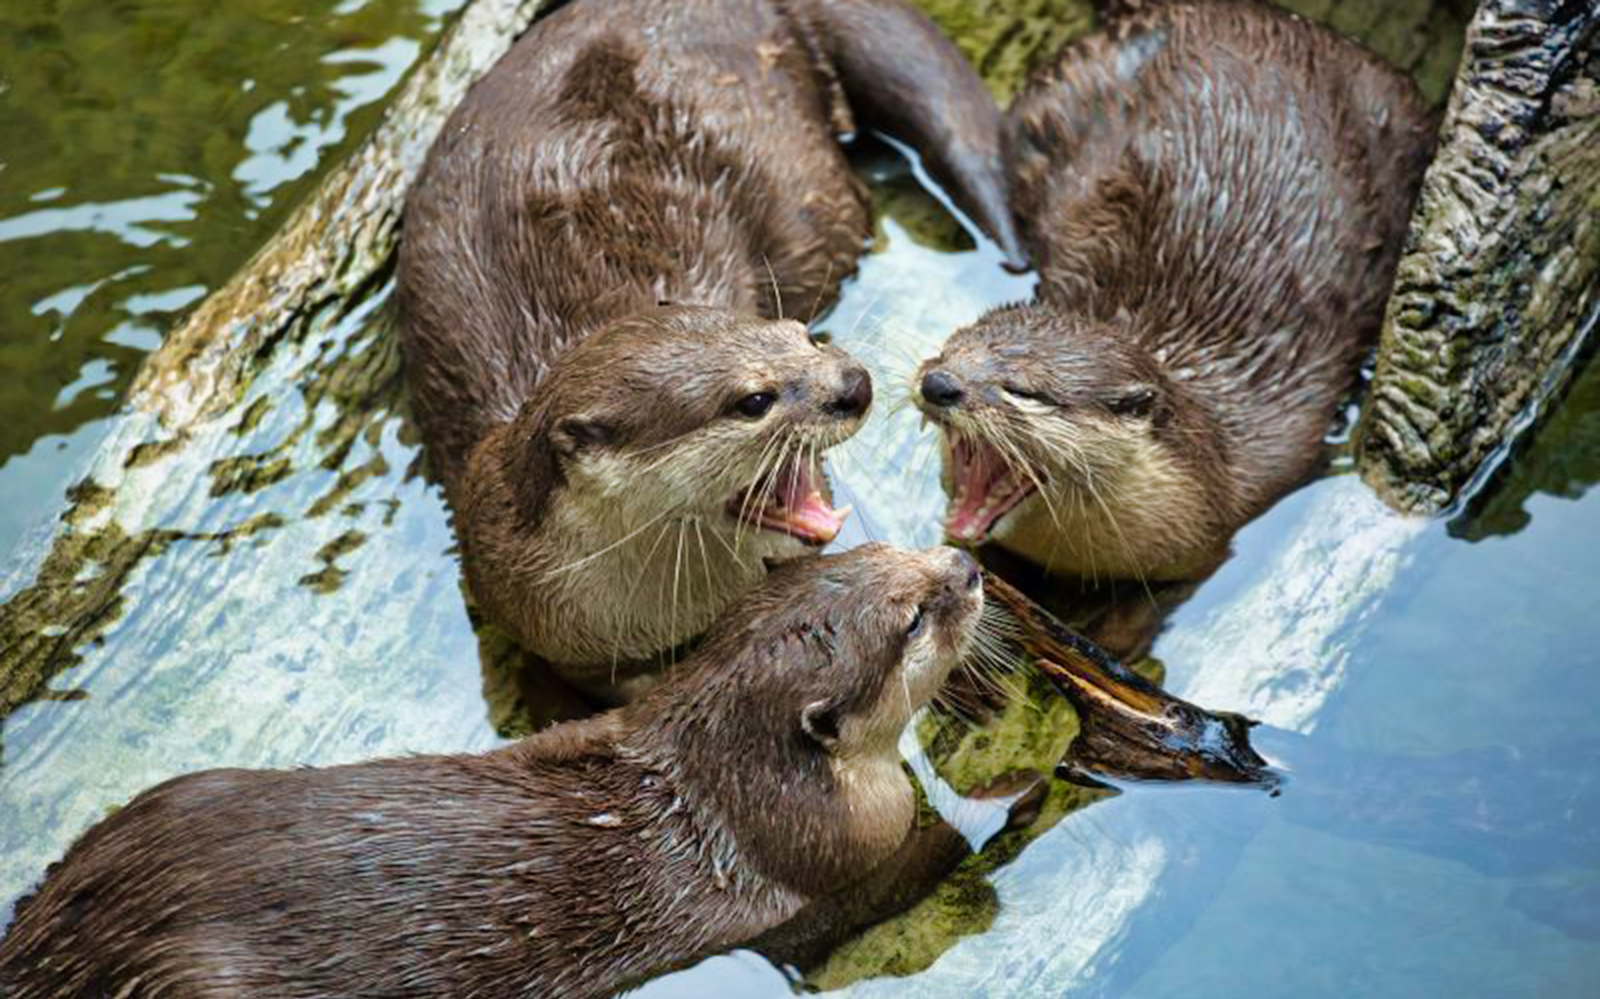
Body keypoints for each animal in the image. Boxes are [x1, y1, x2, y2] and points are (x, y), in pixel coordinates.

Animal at [0, 545, 1008, 998]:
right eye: (912, 616)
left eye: (889, 552)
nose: (964, 563)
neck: (728, 794)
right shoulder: (844, 850)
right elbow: (920, 864)